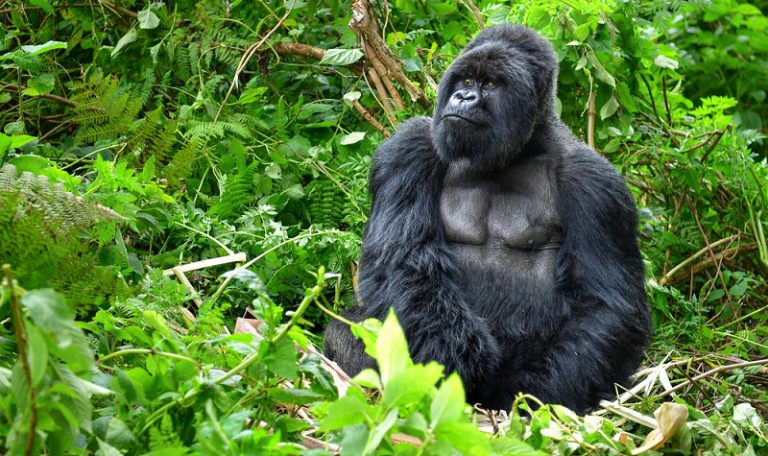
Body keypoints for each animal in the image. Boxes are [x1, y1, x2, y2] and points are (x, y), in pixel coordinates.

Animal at [326, 25, 656, 414]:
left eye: (491, 84)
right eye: (467, 79)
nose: (464, 97)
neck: (518, 151)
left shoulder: (596, 185)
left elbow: (605, 305)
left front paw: (528, 393)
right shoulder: (408, 147)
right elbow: (403, 260)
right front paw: (454, 356)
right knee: (345, 331)